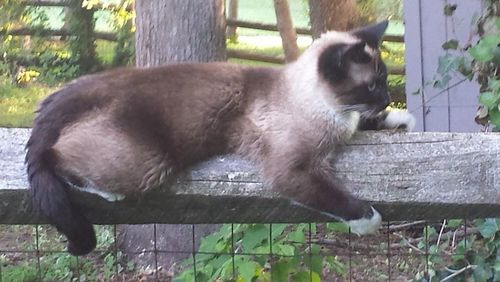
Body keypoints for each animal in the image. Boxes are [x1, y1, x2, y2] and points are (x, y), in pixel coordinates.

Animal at [24, 21, 414, 256]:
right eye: (373, 84)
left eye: (383, 80)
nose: (386, 99)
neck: (330, 109)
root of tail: (77, 90)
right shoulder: (293, 170)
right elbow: (334, 197)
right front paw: (369, 220)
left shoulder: (351, 123)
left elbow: (370, 123)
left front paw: (399, 119)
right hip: (148, 162)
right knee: (53, 158)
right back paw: (108, 191)